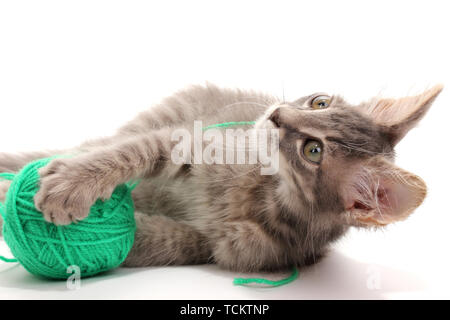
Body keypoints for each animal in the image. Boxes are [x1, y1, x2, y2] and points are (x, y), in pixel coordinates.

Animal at [0, 83, 442, 272]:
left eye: (313, 151)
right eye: (320, 102)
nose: (277, 114)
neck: (263, 187)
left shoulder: (221, 246)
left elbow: (152, 239)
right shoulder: (189, 141)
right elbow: (130, 152)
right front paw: (71, 183)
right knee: (95, 144)